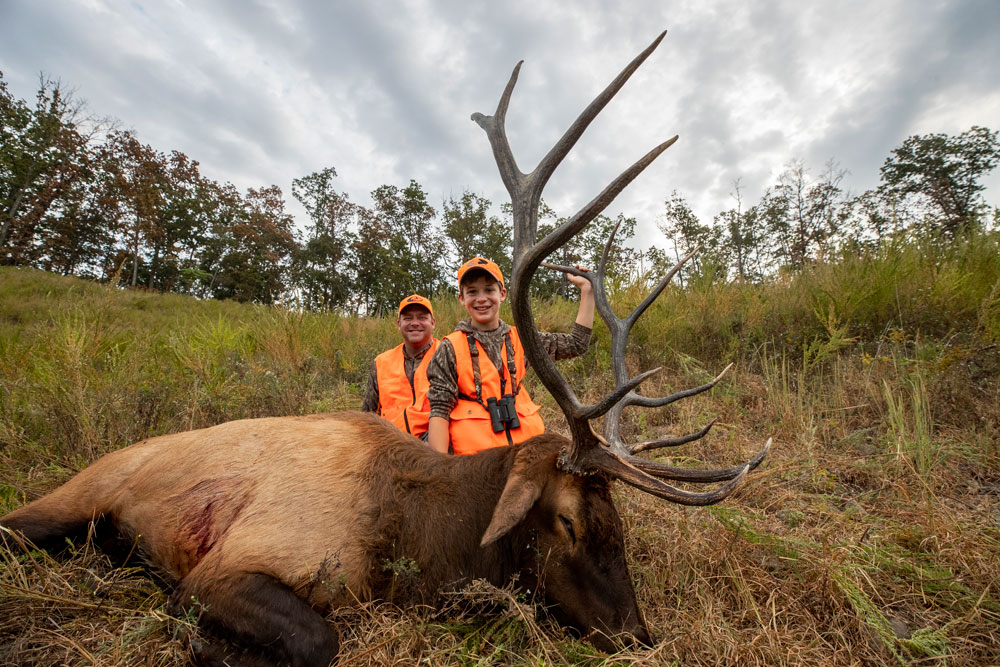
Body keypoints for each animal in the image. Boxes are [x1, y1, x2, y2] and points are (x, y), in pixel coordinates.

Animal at [0, 31, 768, 667]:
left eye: (622, 522)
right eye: (568, 521)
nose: (639, 634)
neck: (408, 538)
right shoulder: (226, 565)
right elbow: (316, 638)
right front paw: (201, 646)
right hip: (74, 497)